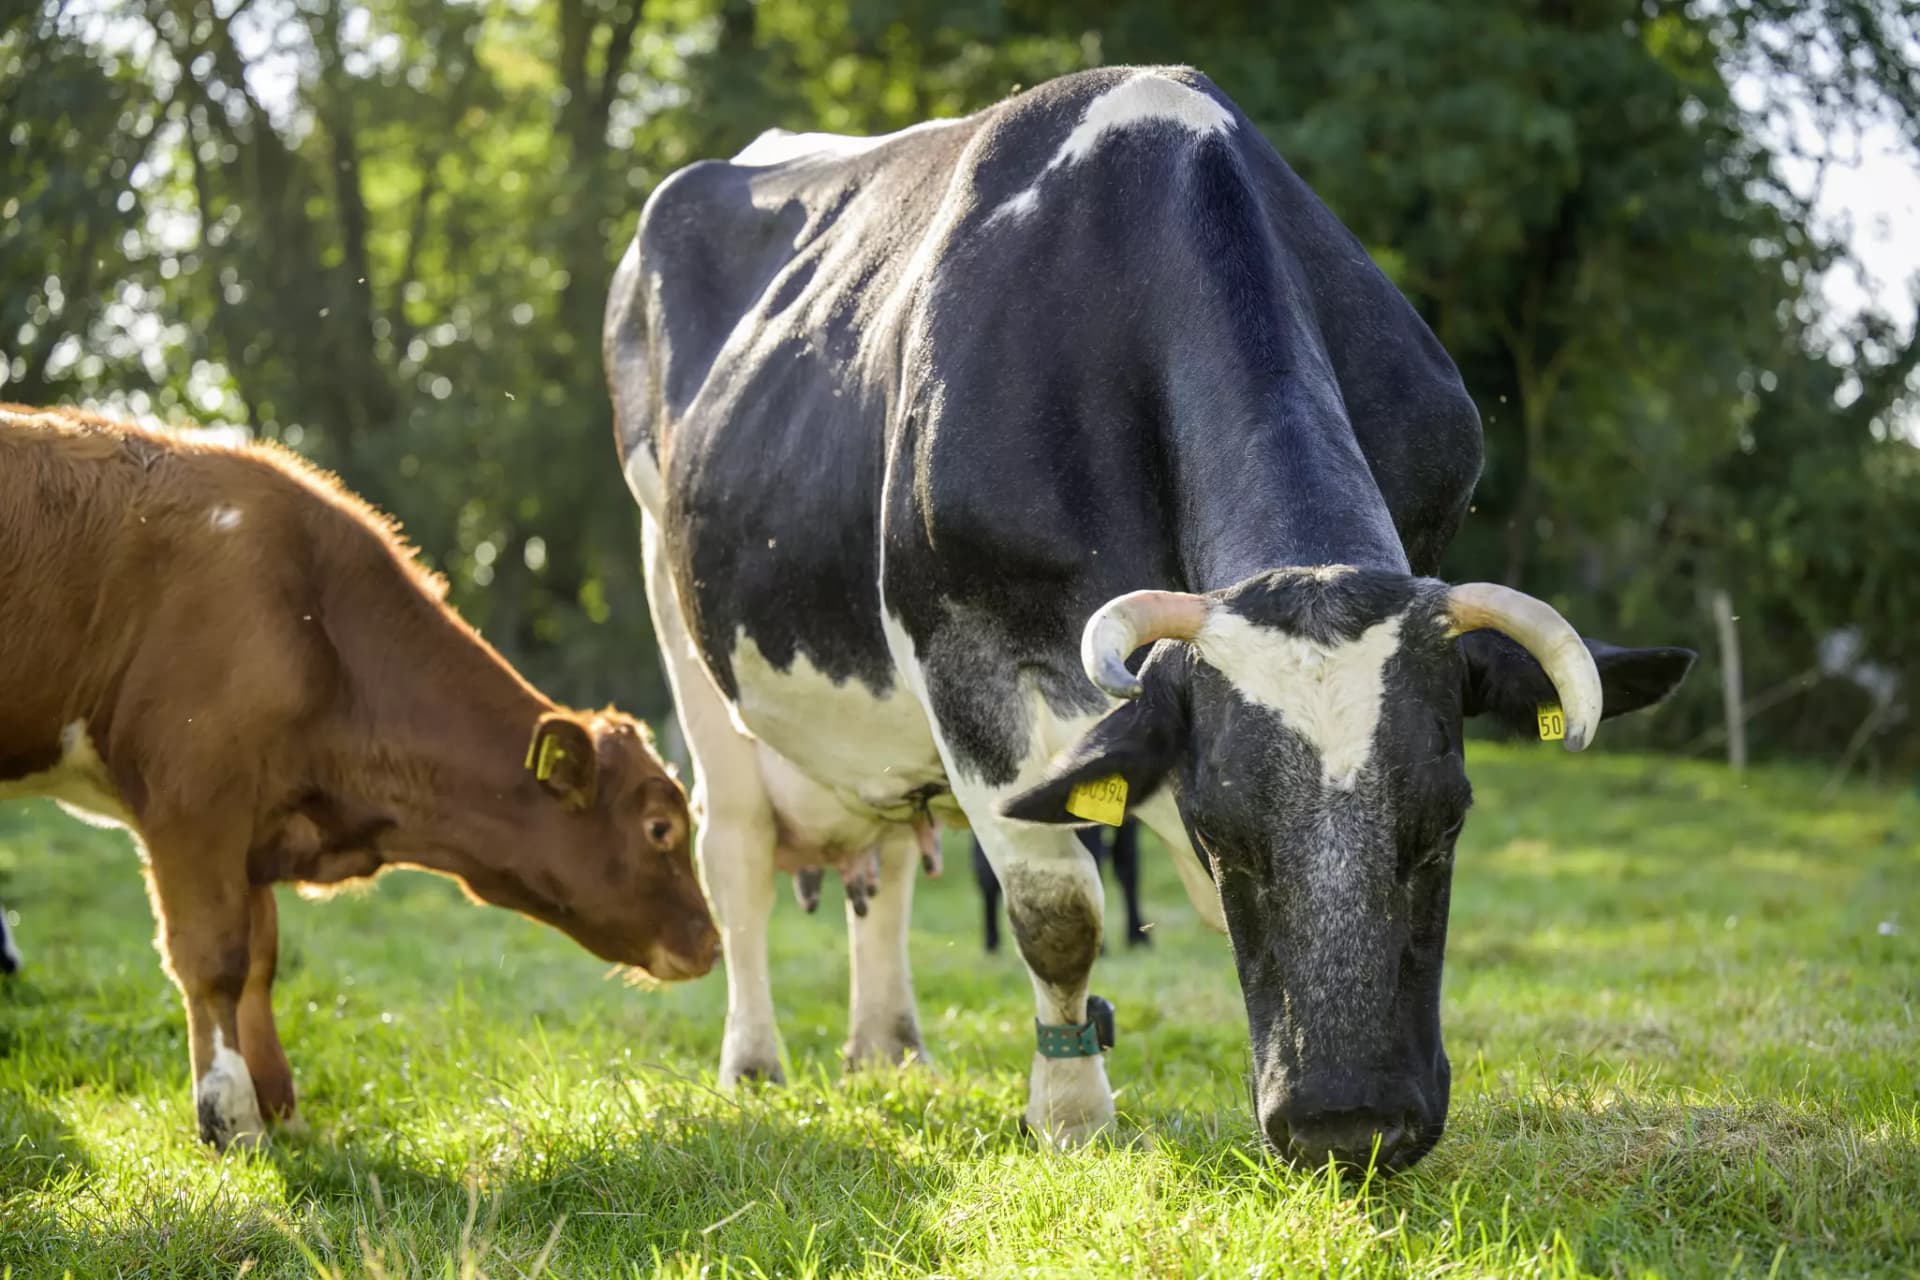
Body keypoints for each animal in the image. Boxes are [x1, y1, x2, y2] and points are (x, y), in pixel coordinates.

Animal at [0, 404, 721, 1150]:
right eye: (659, 828)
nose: (711, 943)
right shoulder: (193, 803)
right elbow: (214, 960)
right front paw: (231, 1118)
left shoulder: (255, 826)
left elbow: (260, 962)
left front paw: (280, 1109)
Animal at [603, 66, 1694, 1171]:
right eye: (1220, 824)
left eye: (1450, 817)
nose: (1349, 1125)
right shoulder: (964, 657)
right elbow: (1056, 909)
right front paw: (1071, 1113)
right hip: (671, 594)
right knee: (733, 849)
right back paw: (755, 1063)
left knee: (892, 861)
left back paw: (889, 1052)